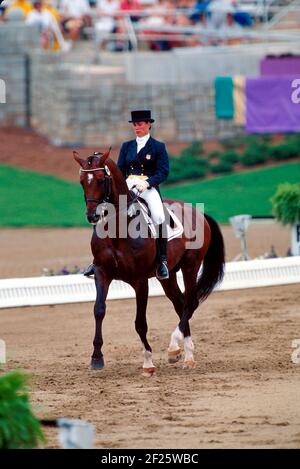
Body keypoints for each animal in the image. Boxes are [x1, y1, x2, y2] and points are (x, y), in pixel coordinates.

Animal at [74, 148, 225, 374]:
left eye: (101, 180)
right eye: (82, 181)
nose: (92, 216)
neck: (117, 230)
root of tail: (197, 212)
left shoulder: (140, 280)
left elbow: (140, 322)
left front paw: (148, 362)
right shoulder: (102, 273)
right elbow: (99, 310)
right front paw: (97, 358)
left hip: (190, 266)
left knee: (191, 302)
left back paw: (175, 348)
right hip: (168, 275)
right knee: (180, 303)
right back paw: (185, 354)